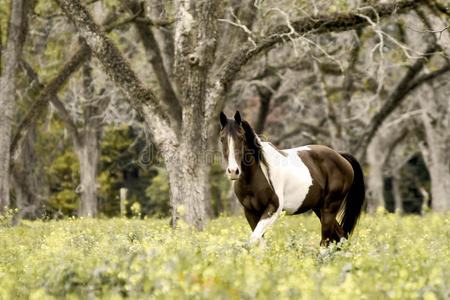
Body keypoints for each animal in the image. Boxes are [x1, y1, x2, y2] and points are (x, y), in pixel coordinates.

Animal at [219, 110, 366, 246]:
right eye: (222, 139)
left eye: (241, 137)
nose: (233, 171)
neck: (254, 176)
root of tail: (340, 156)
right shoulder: (250, 212)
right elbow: (259, 241)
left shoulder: (273, 209)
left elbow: (255, 238)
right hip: (319, 208)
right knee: (340, 236)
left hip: (329, 208)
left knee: (327, 240)